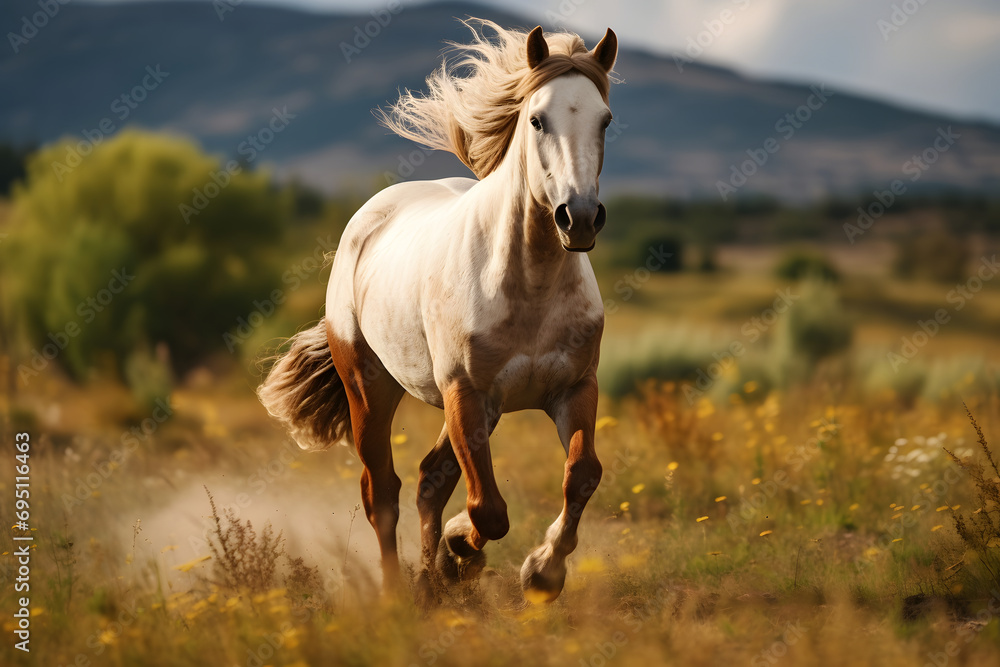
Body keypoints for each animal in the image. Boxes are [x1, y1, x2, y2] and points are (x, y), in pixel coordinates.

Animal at [258, 19, 617, 604]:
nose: (579, 217)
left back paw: (430, 584)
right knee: (382, 489)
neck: (529, 285)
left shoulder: (573, 389)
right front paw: (463, 554)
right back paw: (399, 594)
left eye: (605, 119)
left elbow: (581, 474)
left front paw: (539, 572)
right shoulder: (465, 393)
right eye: (536, 119)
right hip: (371, 389)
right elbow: (488, 510)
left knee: (430, 479)